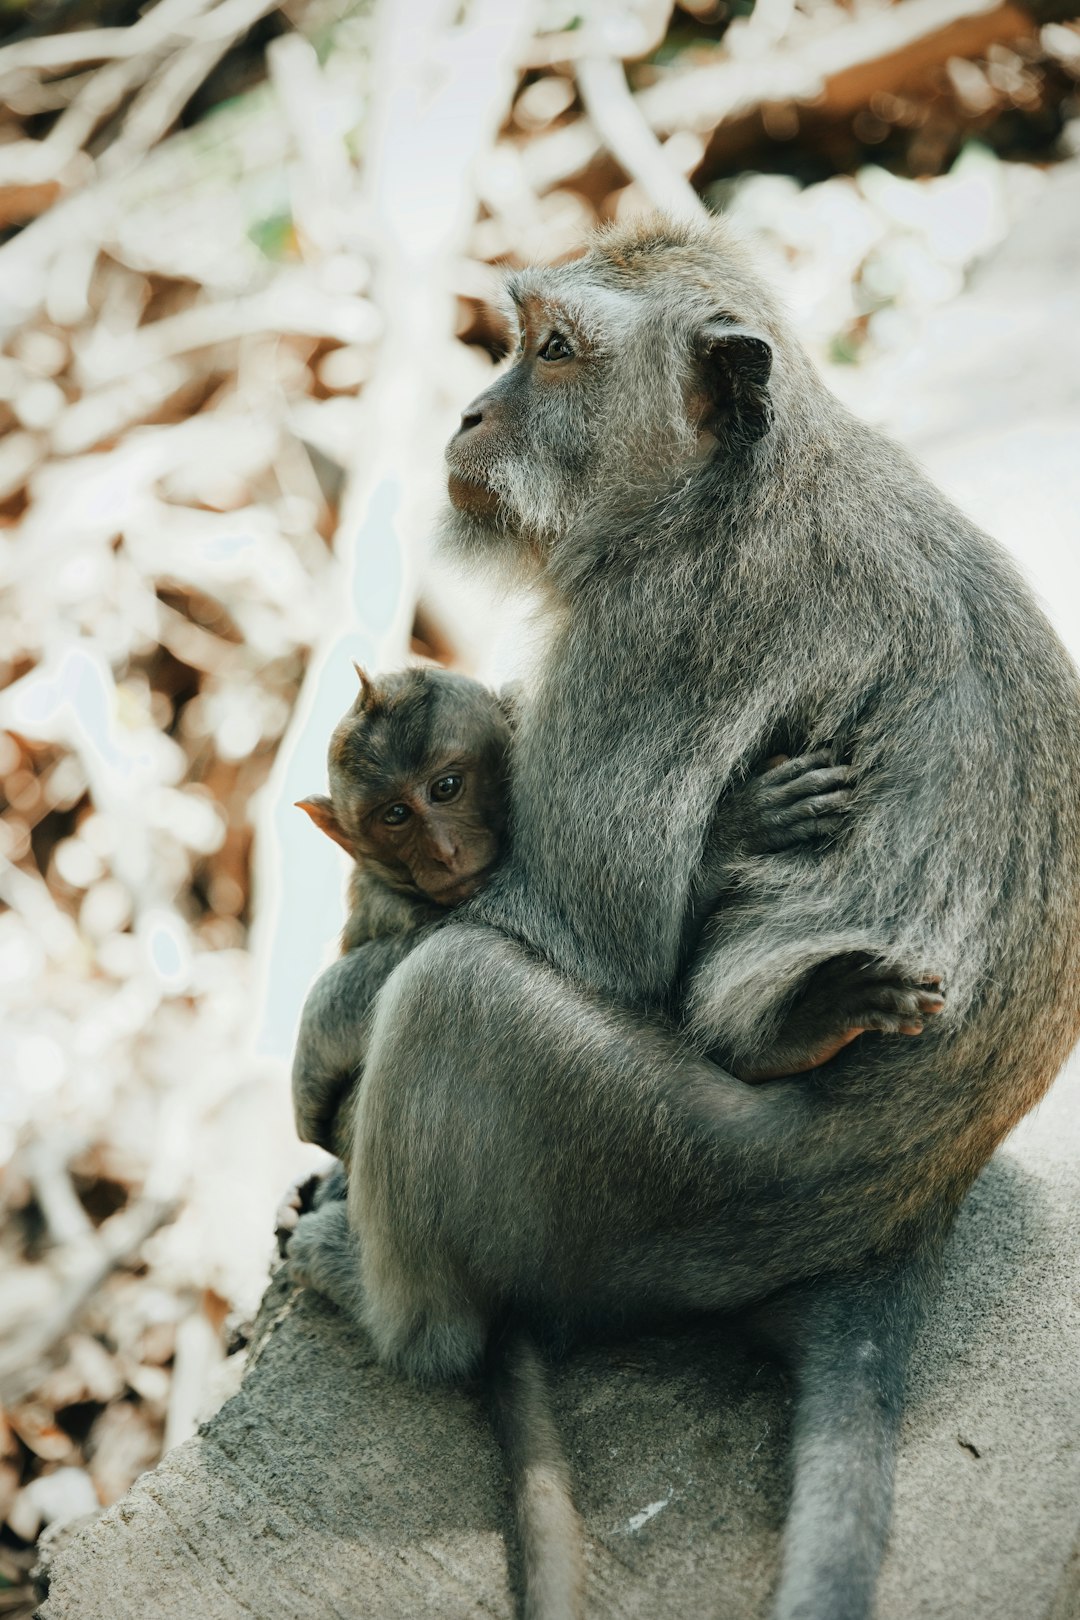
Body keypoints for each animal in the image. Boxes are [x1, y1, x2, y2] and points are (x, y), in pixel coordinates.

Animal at [286, 215, 1080, 1620]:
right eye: (518, 340)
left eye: (553, 351)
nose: (471, 413)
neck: (718, 492)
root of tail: (912, 1209)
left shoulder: (659, 633)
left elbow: (590, 932)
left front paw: (327, 1026)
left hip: (669, 1180)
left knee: (458, 998)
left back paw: (393, 1313)